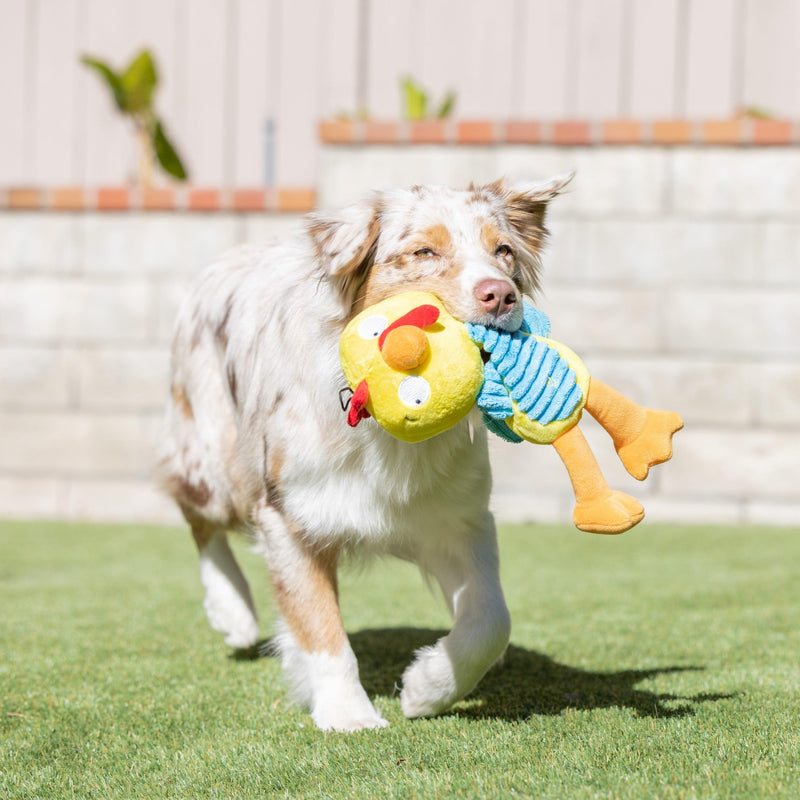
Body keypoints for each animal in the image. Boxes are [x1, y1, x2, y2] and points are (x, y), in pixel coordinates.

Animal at [158, 173, 576, 732]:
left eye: (503, 251)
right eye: (423, 251)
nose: (502, 296)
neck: (385, 431)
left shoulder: (457, 517)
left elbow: (491, 619)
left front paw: (427, 689)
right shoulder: (289, 514)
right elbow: (321, 625)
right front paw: (347, 714)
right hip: (216, 460)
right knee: (196, 512)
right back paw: (233, 612)